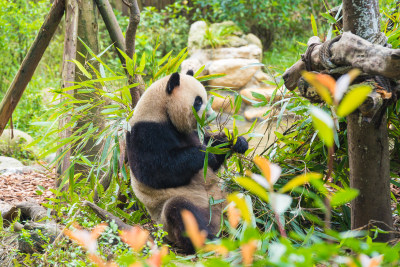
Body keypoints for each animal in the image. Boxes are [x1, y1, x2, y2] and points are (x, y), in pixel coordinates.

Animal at [126, 70, 248, 254]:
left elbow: (212, 147)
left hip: (228, 197)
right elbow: (156, 171)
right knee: (181, 212)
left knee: (245, 193)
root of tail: (218, 221)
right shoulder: (146, 133)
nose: (210, 116)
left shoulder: (194, 132)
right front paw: (203, 154)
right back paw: (210, 240)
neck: (161, 112)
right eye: (198, 101)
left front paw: (237, 142)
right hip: (178, 212)